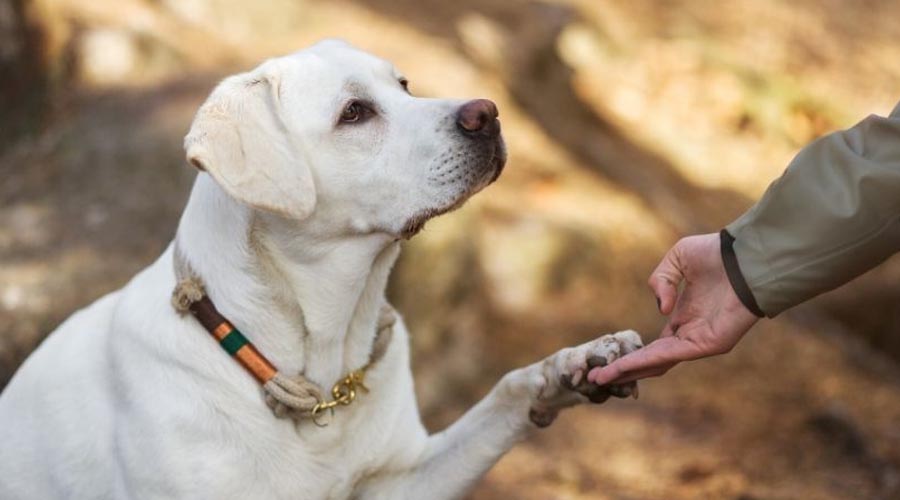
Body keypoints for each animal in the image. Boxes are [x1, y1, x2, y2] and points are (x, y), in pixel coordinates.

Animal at [1, 41, 648, 498]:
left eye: (404, 85)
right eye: (354, 113)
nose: (487, 112)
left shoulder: (404, 480)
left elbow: (507, 391)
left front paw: (574, 366)